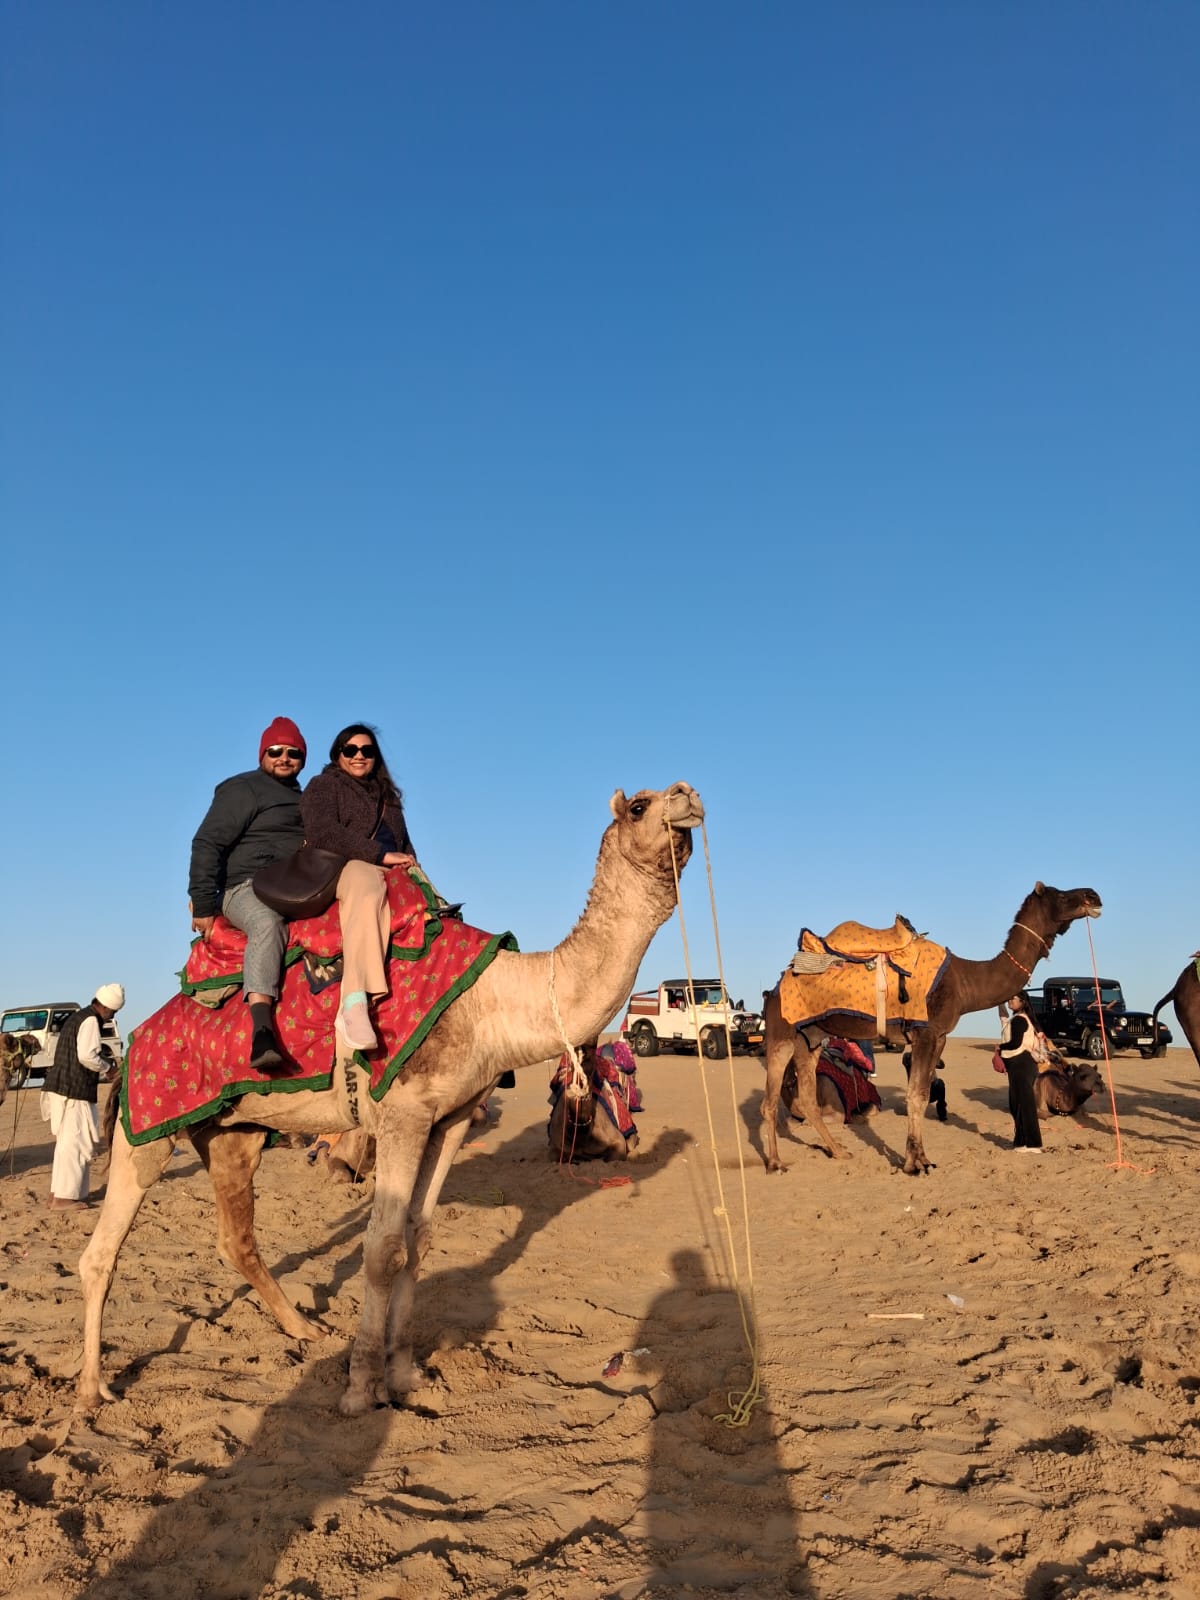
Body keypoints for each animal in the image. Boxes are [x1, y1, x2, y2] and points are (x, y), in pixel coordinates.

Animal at [78, 782, 702, 1415]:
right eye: (640, 807)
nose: (689, 795)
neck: (494, 1001)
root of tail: (134, 1041)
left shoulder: (449, 1119)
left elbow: (419, 1239)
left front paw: (405, 1376)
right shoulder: (403, 1114)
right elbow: (382, 1248)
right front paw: (360, 1389)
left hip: (234, 1133)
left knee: (236, 1237)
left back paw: (305, 1328)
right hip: (146, 1126)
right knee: (101, 1251)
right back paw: (91, 1389)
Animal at [761, 882, 1102, 1175]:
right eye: (1060, 894)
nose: (1093, 895)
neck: (965, 982)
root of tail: (776, 985)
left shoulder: (939, 1037)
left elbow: (923, 1094)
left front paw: (922, 1158)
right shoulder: (924, 1033)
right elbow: (915, 1095)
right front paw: (914, 1165)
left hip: (811, 1037)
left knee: (807, 1096)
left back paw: (839, 1151)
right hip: (782, 1033)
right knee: (769, 1100)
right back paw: (775, 1163)